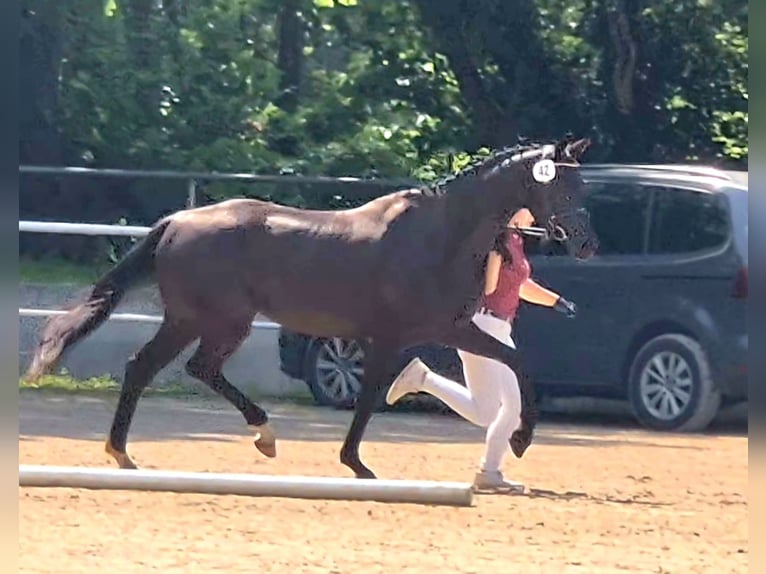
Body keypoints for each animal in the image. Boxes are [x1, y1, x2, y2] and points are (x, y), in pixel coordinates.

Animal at [24, 137, 600, 480]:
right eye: (563, 185)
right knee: (169, 367)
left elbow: (517, 363)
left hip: (203, 321)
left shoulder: (450, 328)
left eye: (581, 182)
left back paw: (141, 450)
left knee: (163, 367)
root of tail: (176, 221)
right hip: (213, 320)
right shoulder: (392, 337)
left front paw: (521, 440)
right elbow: (368, 400)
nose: (588, 245)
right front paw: (357, 465)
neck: (441, 236)